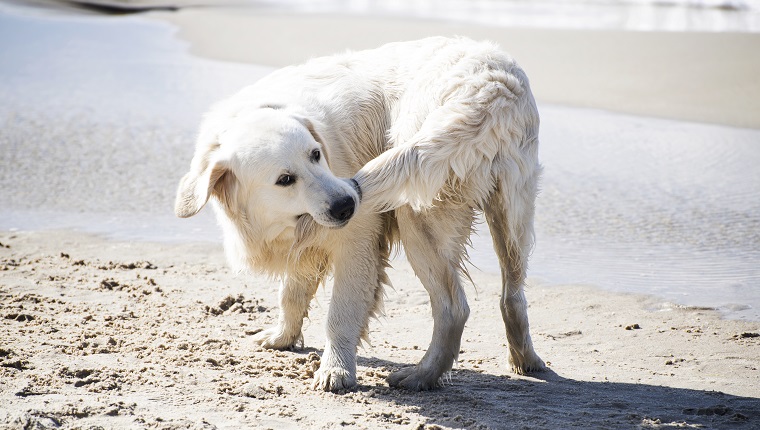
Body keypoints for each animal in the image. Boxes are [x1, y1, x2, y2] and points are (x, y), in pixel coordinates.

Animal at [177, 37, 548, 392]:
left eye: (316, 154)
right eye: (285, 179)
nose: (347, 204)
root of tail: (490, 88)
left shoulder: (357, 241)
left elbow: (340, 314)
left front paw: (336, 370)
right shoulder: (304, 243)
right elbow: (291, 294)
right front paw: (282, 337)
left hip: (417, 213)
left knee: (454, 308)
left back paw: (421, 376)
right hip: (511, 214)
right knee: (513, 295)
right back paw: (525, 360)